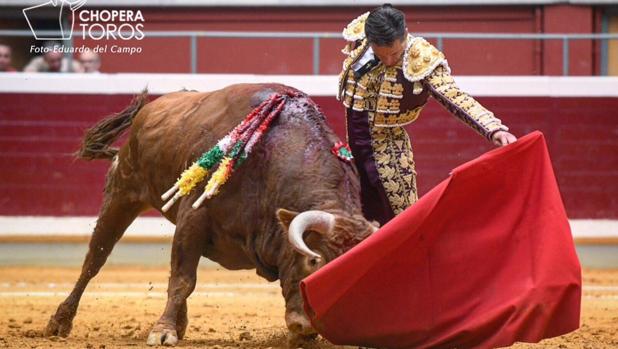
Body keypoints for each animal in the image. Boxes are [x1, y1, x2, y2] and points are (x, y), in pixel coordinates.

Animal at [42, 83, 376, 346]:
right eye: (313, 261)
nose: (307, 325)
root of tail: (146, 113)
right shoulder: (194, 218)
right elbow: (183, 280)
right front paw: (163, 332)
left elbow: (181, 276)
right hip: (121, 194)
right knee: (94, 260)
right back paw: (60, 322)